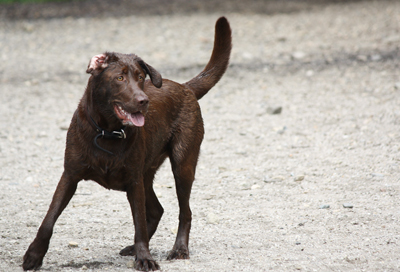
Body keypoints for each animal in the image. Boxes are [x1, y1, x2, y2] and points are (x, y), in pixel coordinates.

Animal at [22, 17, 231, 272]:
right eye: (119, 78)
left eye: (141, 77)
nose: (144, 100)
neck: (107, 131)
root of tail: (186, 87)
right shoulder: (70, 175)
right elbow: (49, 219)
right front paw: (34, 255)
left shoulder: (133, 181)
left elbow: (138, 224)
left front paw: (145, 258)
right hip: (147, 172)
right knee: (157, 210)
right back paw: (133, 248)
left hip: (182, 165)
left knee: (185, 212)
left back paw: (179, 249)